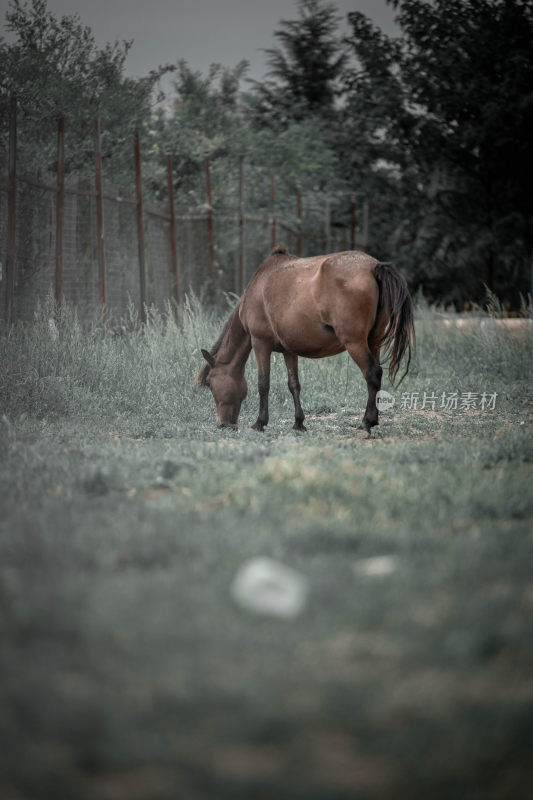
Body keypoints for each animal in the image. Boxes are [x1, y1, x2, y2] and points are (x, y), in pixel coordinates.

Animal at [197, 244, 414, 434]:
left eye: (210, 383)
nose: (222, 424)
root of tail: (373, 266)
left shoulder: (260, 344)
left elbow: (263, 384)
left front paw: (260, 423)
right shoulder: (289, 351)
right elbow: (294, 385)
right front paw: (299, 423)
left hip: (355, 343)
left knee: (372, 374)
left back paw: (366, 423)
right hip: (373, 341)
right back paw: (373, 419)